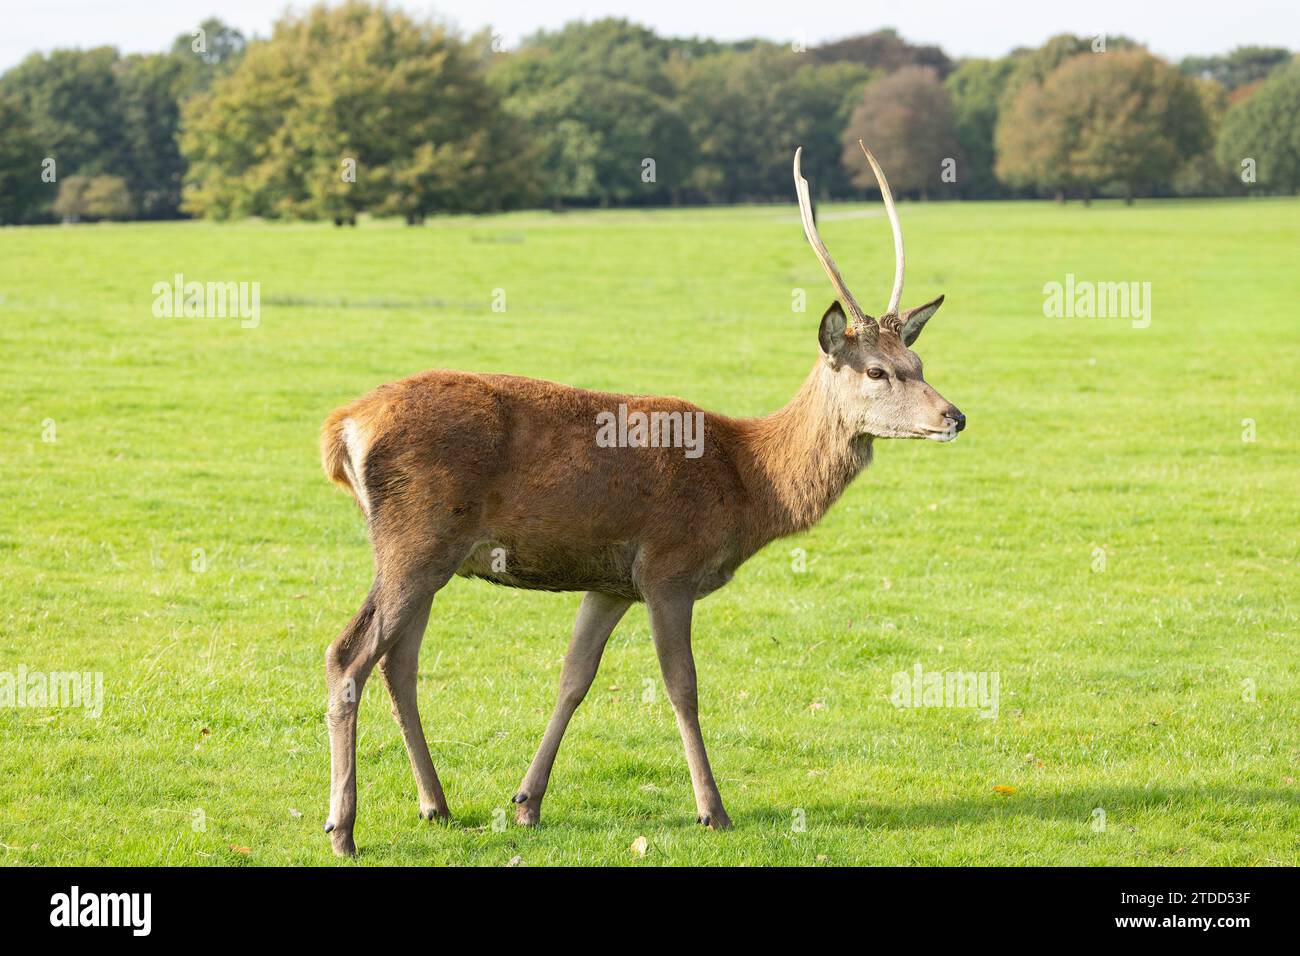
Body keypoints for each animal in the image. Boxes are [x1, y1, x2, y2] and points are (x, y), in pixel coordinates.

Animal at [318, 143, 961, 858]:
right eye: (876, 370)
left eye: (920, 363)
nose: (954, 416)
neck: (749, 483)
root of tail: (343, 427)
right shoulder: (667, 567)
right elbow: (683, 685)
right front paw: (713, 809)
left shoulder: (610, 583)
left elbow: (573, 678)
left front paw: (527, 802)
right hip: (416, 537)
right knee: (348, 655)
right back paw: (343, 828)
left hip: (426, 551)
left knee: (399, 662)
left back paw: (436, 804)